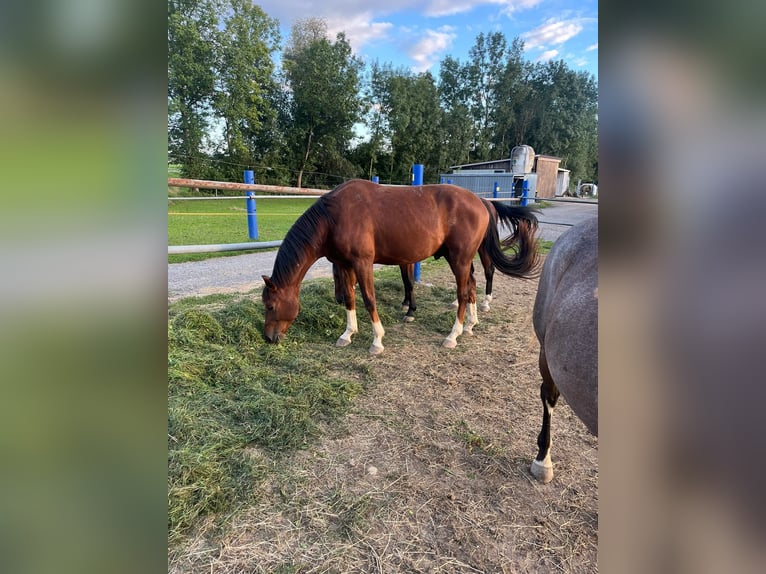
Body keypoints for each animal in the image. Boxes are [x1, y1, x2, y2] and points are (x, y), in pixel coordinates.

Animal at [262, 179, 540, 354]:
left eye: (271, 306)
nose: (268, 338)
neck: (334, 217)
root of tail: (481, 202)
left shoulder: (363, 264)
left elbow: (369, 299)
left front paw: (377, 341)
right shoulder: (344, 265)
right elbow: (351, 299)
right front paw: (347, 334)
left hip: (460, 259)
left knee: (463, 292)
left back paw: (453, 335)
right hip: (460, 259)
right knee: (471, 286)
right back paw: (470, 325)